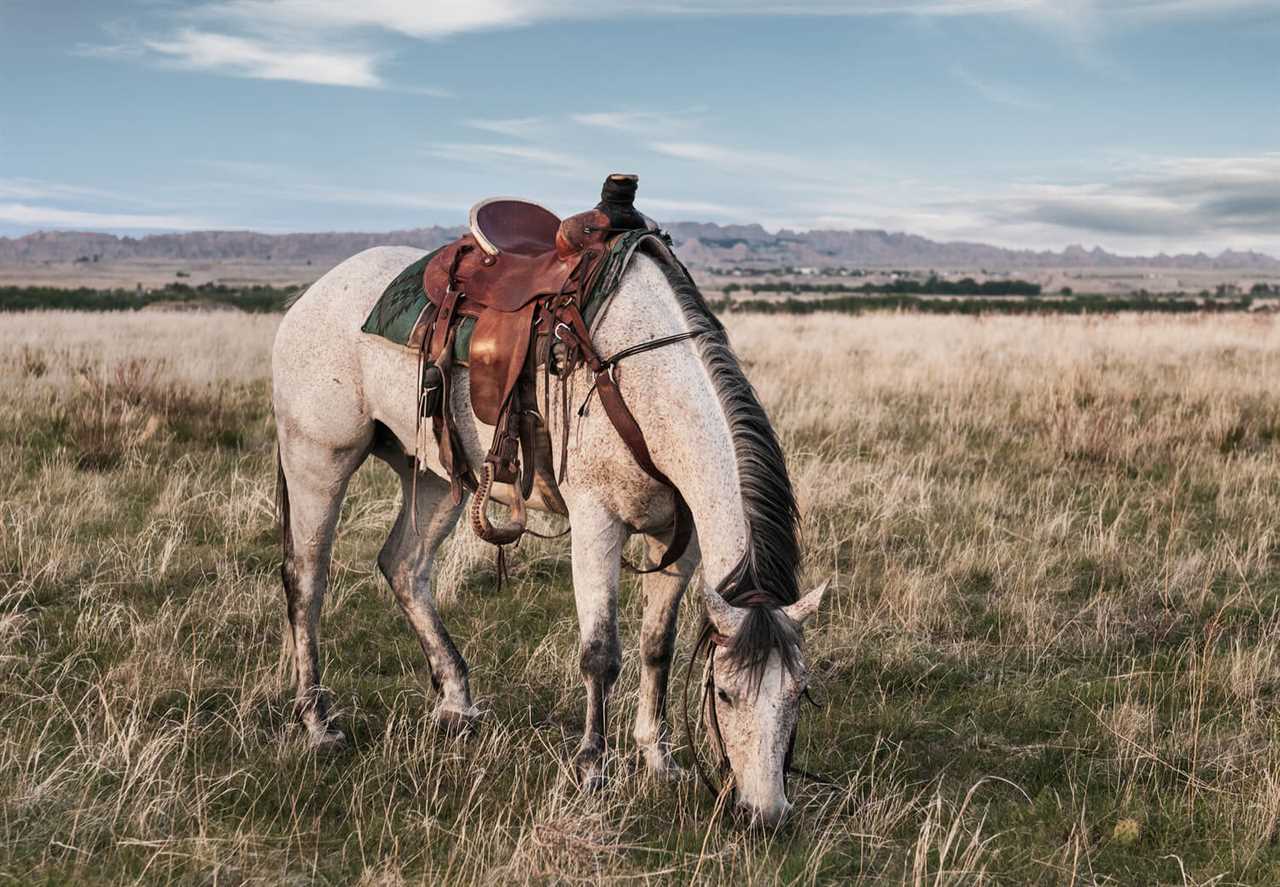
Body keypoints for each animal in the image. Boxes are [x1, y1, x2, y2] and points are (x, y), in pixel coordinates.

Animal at [270, 235, 829, 824]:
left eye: (800, 692)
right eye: (722, 693)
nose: (767, 813)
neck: (640, 378)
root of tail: (314, 293)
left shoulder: (680, 544)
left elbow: (658, 646)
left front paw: (658, 759)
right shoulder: (596, 523)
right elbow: (601, 654)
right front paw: (592, 769)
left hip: (432, 476)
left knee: (404, 567)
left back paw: (457, 704)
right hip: (319, 461)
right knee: (306, 580)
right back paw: (319, 723)